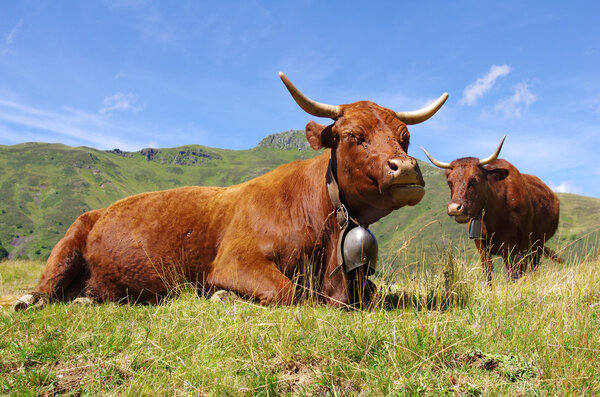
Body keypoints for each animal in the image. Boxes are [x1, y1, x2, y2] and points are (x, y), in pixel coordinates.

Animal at [14, 74, 448, 310]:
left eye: (406, 138)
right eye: (354, 135)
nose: (407, 168)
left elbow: (375, 293)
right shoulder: (235, 261)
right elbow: (288, 292)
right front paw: (223, 297)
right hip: (68, 242)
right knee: (46, 288)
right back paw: (30, 300)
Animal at [420, 137, 560, 284]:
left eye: (474, 180)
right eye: (449, 182)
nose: (455, 208)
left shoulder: (519, 246)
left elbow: (516, 274)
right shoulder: (481, 245)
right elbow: (488, 271)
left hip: (537, 245)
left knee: (532, 269)